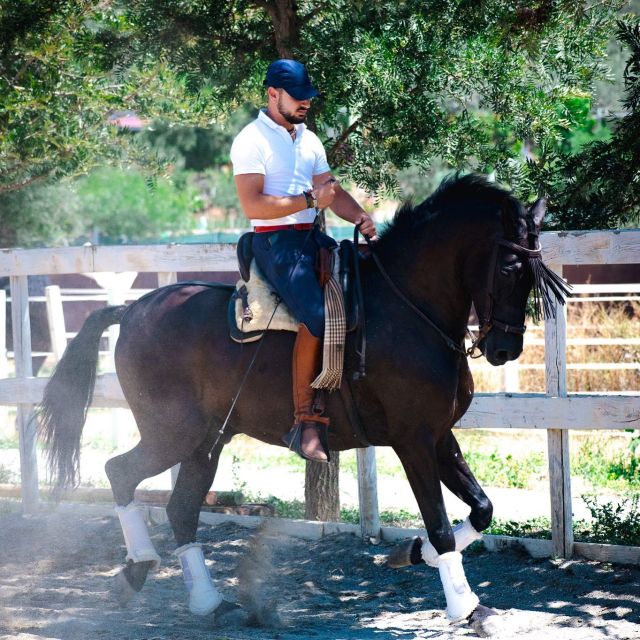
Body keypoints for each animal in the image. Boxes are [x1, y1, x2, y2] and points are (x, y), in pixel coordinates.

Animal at [38, 174, 568, 635]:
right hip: (173, 434)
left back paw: (208, 603)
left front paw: (413, 554)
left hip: (206, 442)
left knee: (181, 509)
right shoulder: (412, 440)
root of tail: (133, 308)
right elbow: (438, 523)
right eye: (510, 268)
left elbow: (481, 509)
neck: (407, 307)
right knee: (120, 473)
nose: (505, 349)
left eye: (537, 268)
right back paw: (140, 568)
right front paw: (465, 606)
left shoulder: (439, 435)